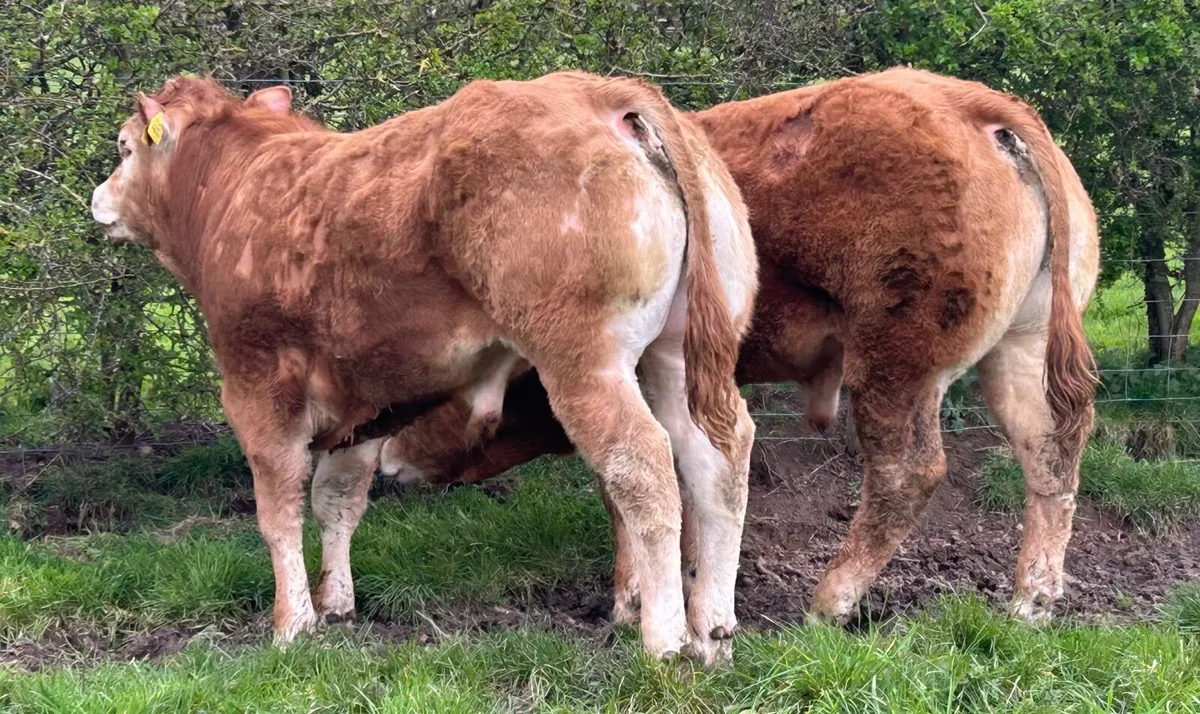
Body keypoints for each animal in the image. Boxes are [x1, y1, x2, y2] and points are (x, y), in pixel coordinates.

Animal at [89, 71, 759, 665]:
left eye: (123, 147)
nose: (98, 197)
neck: (236, 185)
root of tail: (606, 92)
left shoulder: (256, 386)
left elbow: (278, 511)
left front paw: (291, 626)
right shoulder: (369, 400)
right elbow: (336, 499)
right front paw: (336, 606)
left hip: (585, 359)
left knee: (642, 467)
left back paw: (666, 642)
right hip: (676, 356)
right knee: (715, 457)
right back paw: (712, 633)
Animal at [375, 67, 1101, 626]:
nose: (381, 461)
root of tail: (975, 107)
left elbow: (625, 487)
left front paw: (630, 605)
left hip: (897, 364)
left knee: (907, 471)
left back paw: (827, 604)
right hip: (1020, 350)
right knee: (1050, 452)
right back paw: (1030, 604)